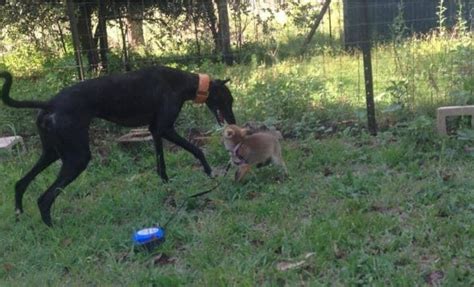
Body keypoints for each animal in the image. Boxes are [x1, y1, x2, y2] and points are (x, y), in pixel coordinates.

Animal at [0, 66, 237, 226]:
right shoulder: (165, 129)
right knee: (44, 199)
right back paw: (53, 229)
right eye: (229, 100)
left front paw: (166, 184)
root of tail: (50, 103)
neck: (181, 82)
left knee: (20, 183)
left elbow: (161, 164)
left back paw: (20, 214)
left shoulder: (155, 131)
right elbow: (197, 149)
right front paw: (209, 171)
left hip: (52, 153)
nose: (234, 122)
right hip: (77, 158)